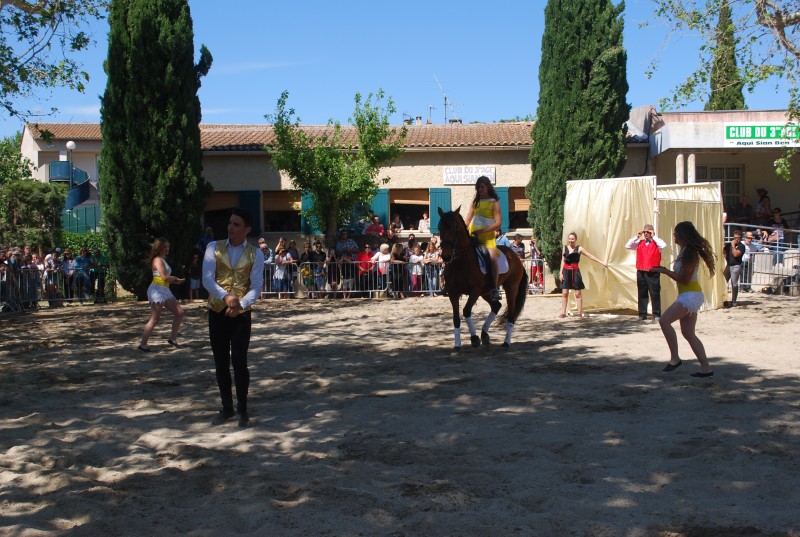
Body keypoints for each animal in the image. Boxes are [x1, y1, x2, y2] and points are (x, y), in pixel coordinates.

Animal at [438, 207, 524, 350]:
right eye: (440, 228)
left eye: (455, 228)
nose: (445, 256)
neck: (460, 263)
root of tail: (515, 256)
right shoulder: (453, 292)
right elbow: (456, 318)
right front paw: (457, 345)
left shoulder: (475, 290)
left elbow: (466, 311)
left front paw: (474, 338)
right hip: (486, 292)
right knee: (496, 306)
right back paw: (484, 334)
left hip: (511, 289)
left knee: (511, 315)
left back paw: (506, 342)